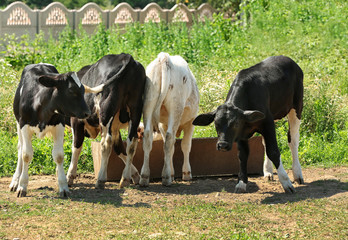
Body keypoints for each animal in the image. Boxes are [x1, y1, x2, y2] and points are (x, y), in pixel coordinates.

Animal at [9, 62, 102, 197]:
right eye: (71, 90)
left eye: (83, 90)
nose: (87, 113)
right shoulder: (24, 125)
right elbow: (26, 155)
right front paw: (22, 186)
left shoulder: (59, 125)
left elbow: (59, 156)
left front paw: (63, 186)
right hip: (18, 124)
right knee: (20, 149)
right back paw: (15, 181)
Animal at [66, 53, 146, 188]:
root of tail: (125, 56)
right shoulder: (115, 128)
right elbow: (120, 149)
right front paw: (135, 175)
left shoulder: (77, 122)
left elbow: (76, 147)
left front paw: (69, 176)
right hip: (135, 109)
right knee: (131, 143)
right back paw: (124, 179)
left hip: (106, 111)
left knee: (106, 143)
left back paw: (101, 179)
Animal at [139, 52, 198, 187]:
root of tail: (164, 57)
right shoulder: (190, 123)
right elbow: (186, 145)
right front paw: (186, 173)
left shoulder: (162, 125)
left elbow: (171, 149)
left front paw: (172, 173)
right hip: (175, 106)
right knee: (170, 138)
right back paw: (166, 177)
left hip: (148, 103)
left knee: (148, 137)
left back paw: (144, 177)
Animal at [192, 55, 304, 193]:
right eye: (216, 124)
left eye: (235, 124)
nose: (222, 145)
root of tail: (288, 59)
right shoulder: (243, 133)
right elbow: (243, 155)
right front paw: (241, 183)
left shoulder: (267, 122)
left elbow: (273, 151)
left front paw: (286, 183)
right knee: (265, 143)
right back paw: (268, 171)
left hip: (297, 107)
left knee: (293, 140)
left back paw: (297, 174)